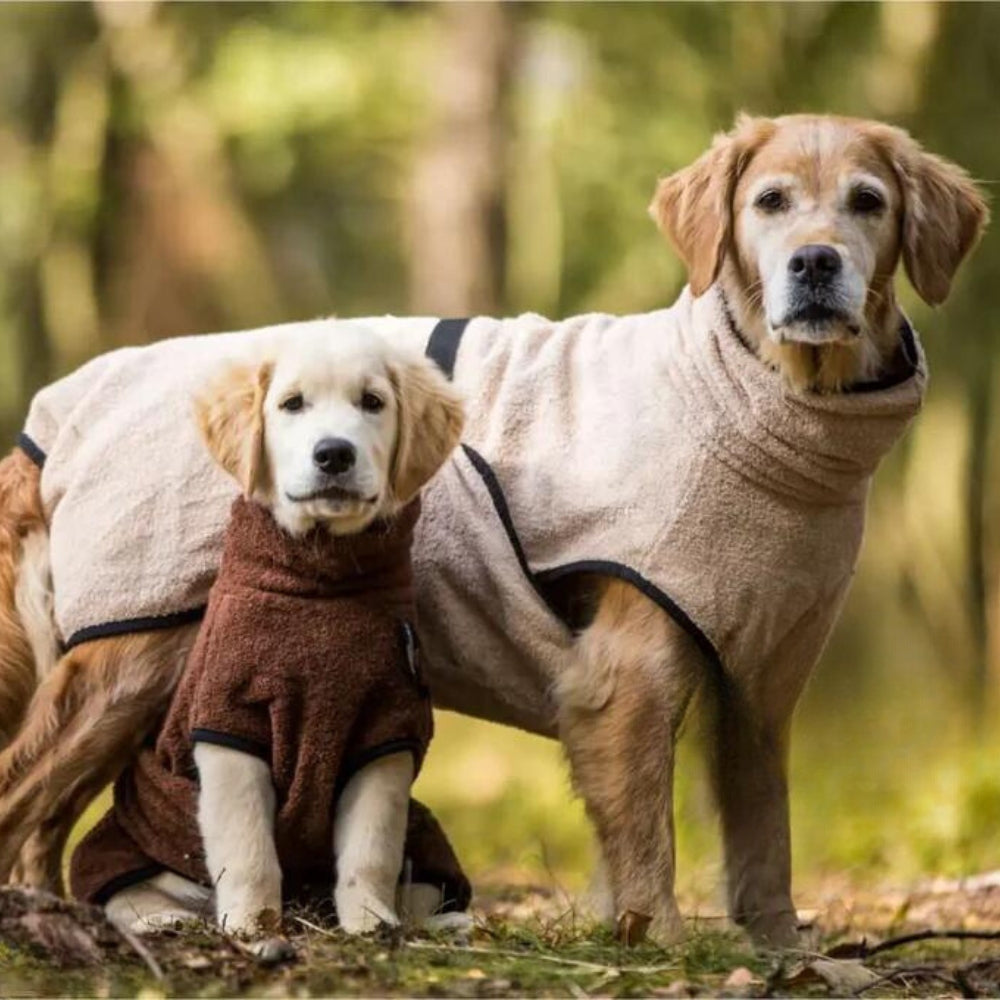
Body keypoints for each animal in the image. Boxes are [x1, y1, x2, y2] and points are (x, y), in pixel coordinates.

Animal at [69, 324, 468, 940]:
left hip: (425, 841)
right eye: (292, 404)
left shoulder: (386, 730)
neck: (321, 582)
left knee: (422, 885)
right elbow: (248, 850)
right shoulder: (231, 723)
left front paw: (370, 924)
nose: (334, 453)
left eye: (372, 403)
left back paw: (442, 923)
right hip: (133, 836)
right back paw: (163, 918)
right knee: (124, 893)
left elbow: (371, 849)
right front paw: (254, 928)